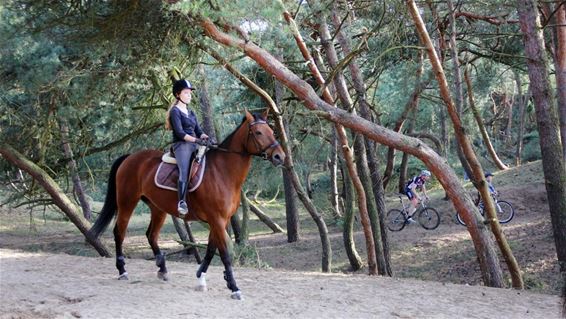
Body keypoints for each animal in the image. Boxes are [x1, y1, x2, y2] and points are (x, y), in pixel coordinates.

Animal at [90, 111, 286, 302]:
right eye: (258, 132)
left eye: (271, 131)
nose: (280, 156)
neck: (222, 172)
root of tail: (130, 157)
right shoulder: (217, 219)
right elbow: (224, 253)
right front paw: (234, 287)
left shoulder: (220, 220)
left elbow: (210, 249)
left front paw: (201, 278)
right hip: (127, 202)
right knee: (119, 233)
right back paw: (122, 270)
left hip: (158, 208)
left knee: (151, 235)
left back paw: (162, 269)